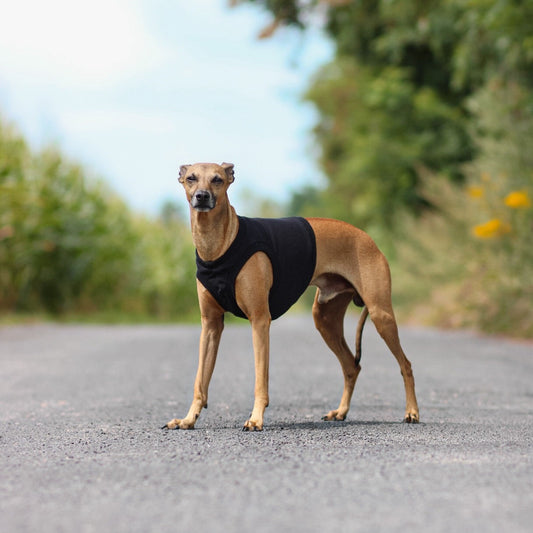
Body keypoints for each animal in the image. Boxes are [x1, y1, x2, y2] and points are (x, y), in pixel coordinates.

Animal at [162, 161, 420, 428]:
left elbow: (260, 380)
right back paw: (340, 411)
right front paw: (188, 418)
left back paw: (412, 412)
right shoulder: (211, 325)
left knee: (406, 364)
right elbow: (200, 380)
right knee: (351, 366)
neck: (219, 244)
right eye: (191, 178)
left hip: (381, 315)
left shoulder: (259, 320)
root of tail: (368, 237)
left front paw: (255, 419)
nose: (202, 197)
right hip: (325, 319)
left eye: (217, 179)